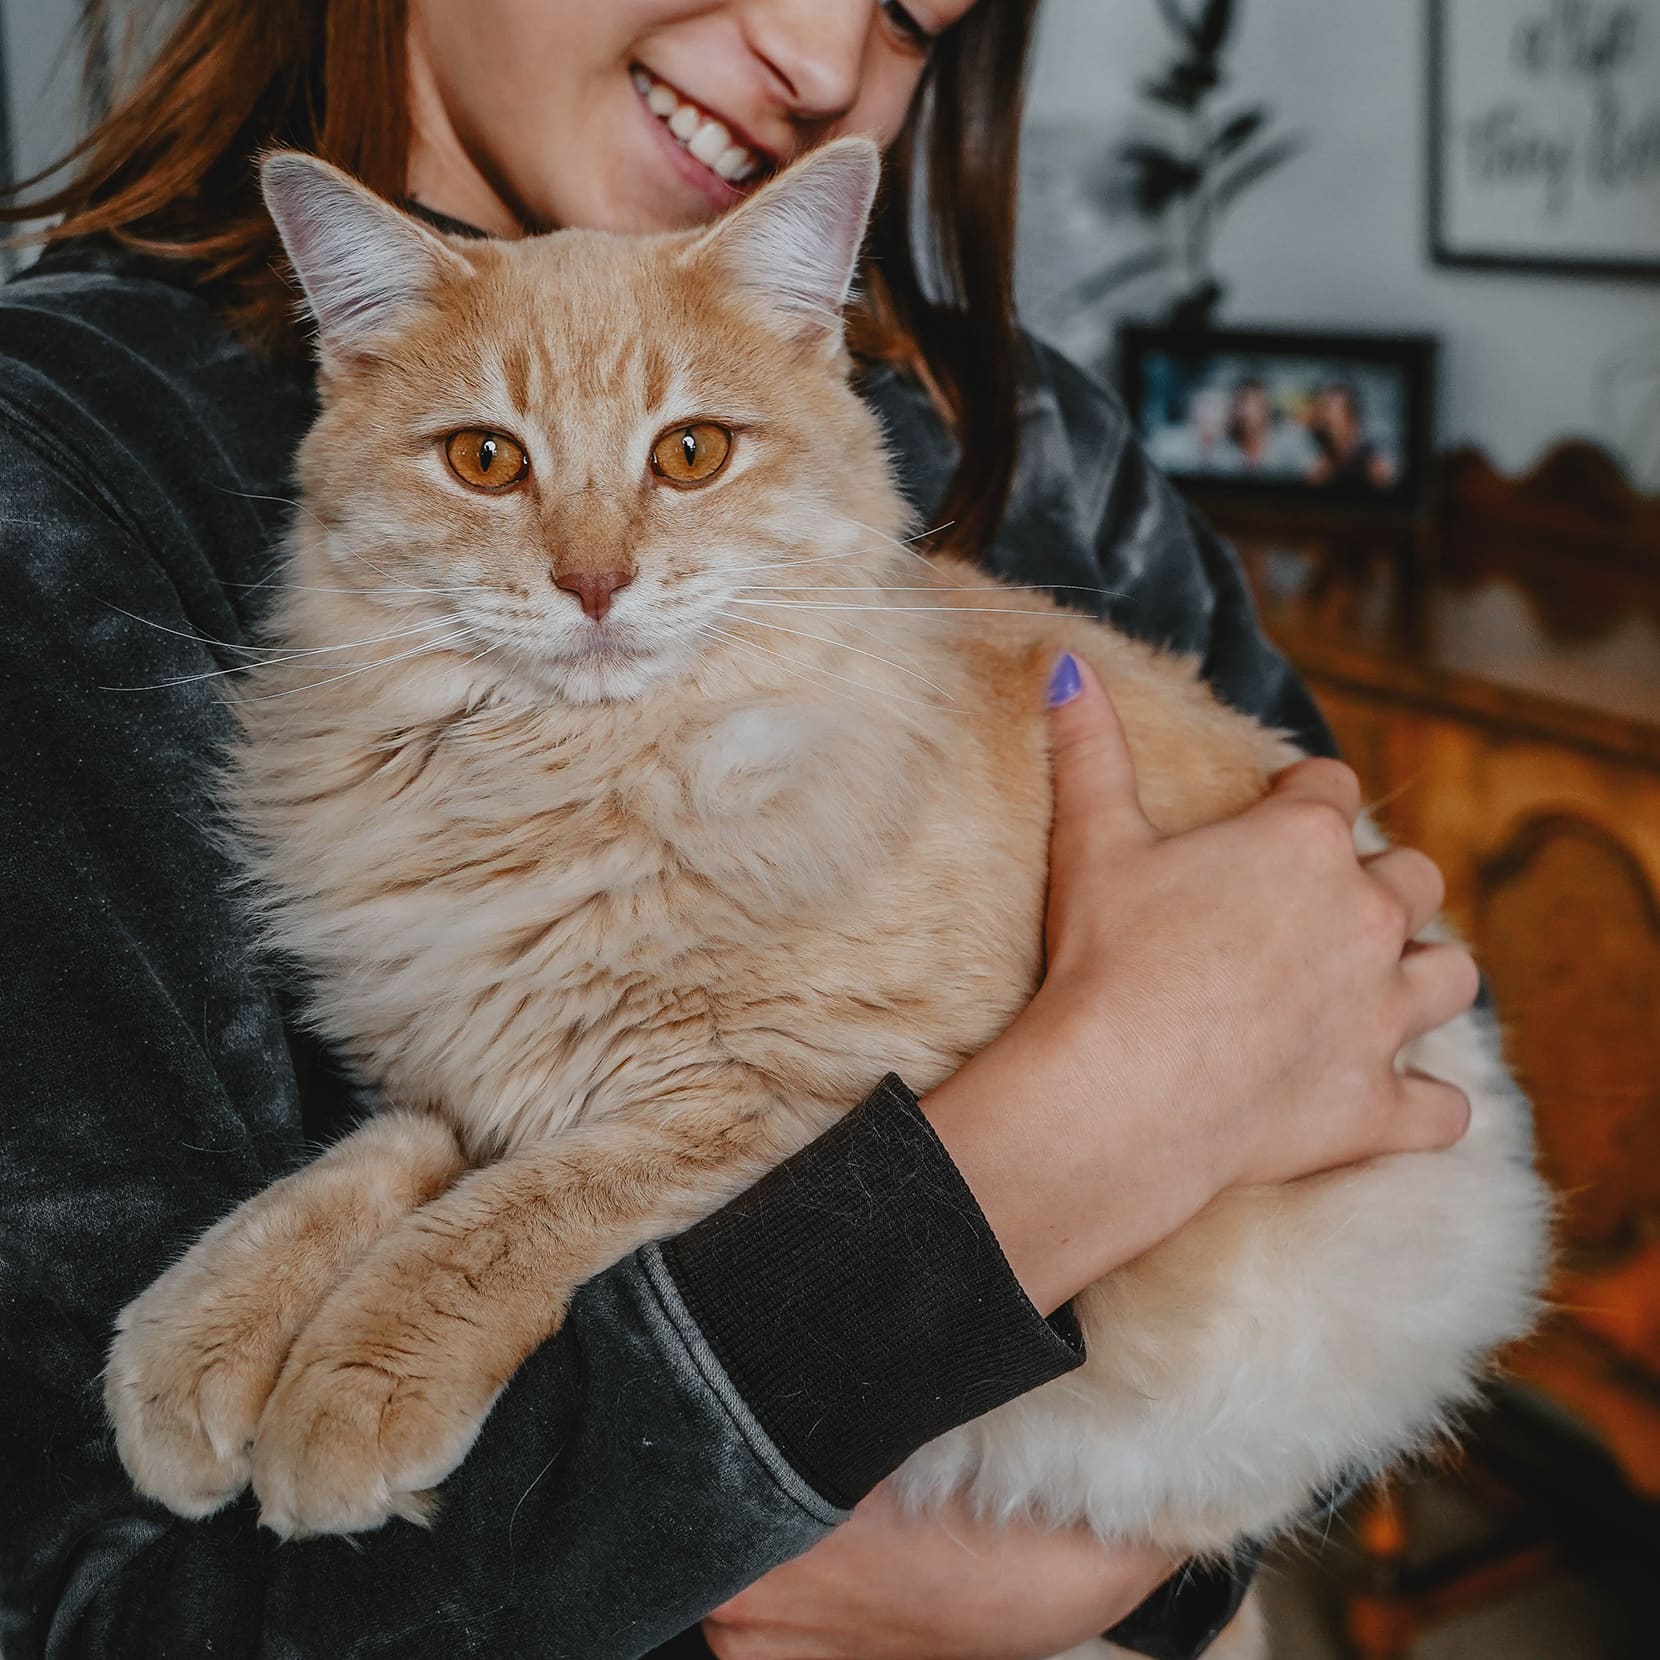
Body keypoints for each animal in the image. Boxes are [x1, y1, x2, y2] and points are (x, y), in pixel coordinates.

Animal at [110, 146, 1547, 1660]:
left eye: (689, 453)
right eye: (486, 462)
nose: (593, 583)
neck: (571, 779)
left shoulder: (783, 1087)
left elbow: (501, 1221)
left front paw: (352, 1386)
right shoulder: (465, 1063)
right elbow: (360, 1173)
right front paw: (204, 1340)